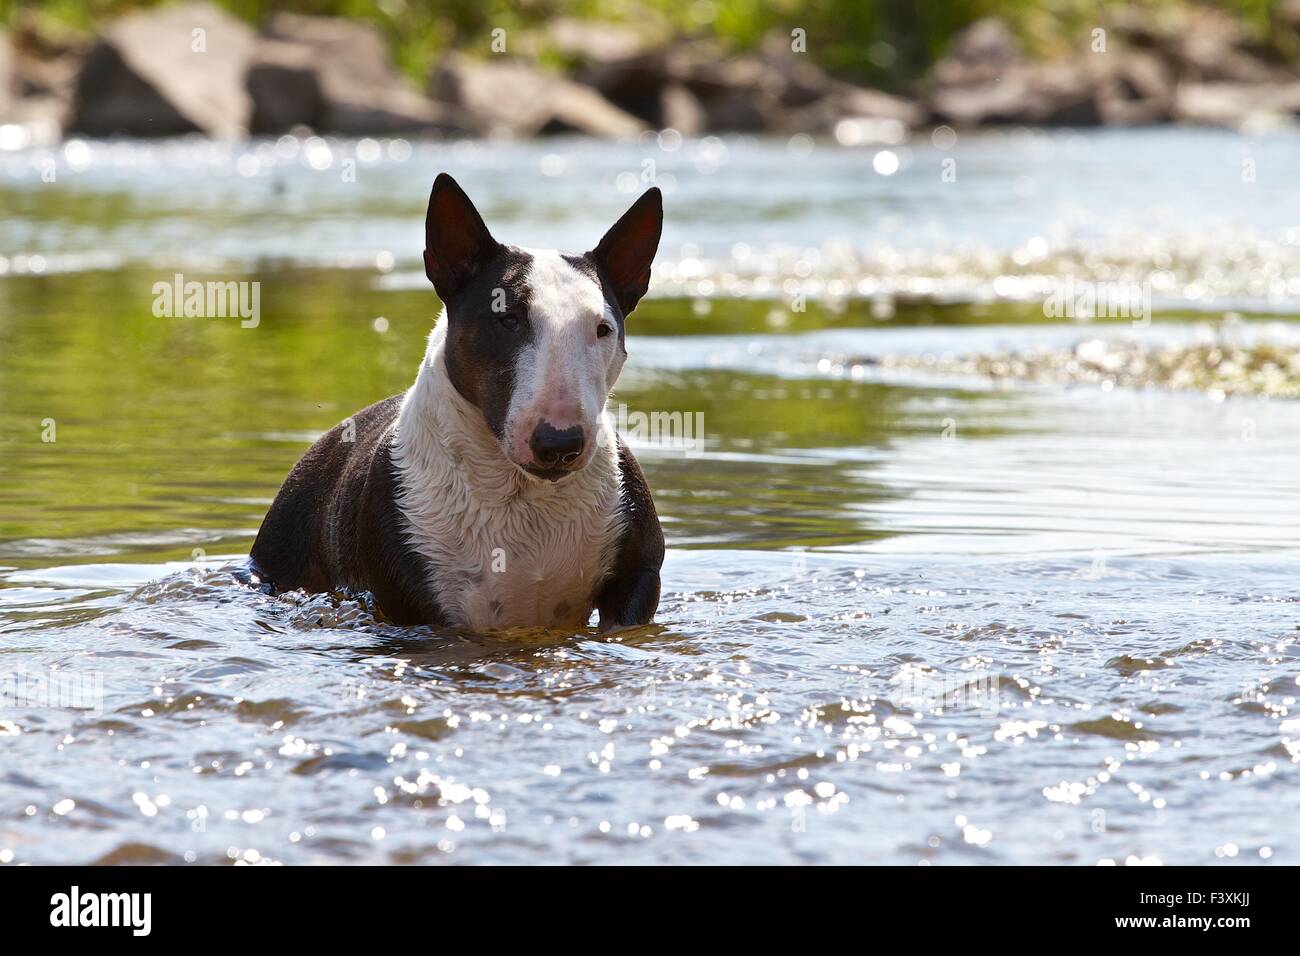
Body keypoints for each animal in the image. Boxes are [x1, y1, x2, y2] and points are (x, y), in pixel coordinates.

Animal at [249, 174, 665, 632]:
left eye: (603, 329)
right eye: (507, 319)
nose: (559, 443)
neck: (521, 495)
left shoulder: (639, 576)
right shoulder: (415, 607)